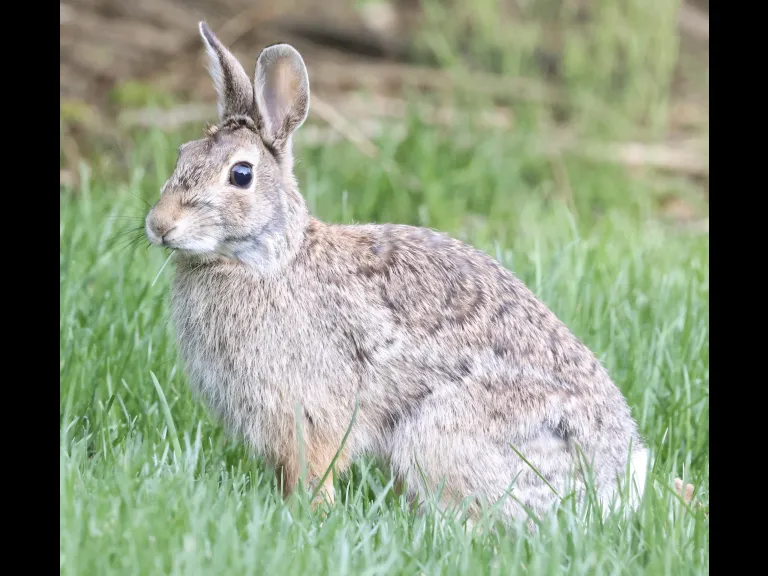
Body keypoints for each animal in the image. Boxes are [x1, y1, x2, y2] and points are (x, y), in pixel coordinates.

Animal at [144, 21, 650, 524]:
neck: (269, 261)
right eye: (182, 154)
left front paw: (311, 515)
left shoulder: (312, 412)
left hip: (441, 435)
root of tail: (615, 481)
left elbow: (315, 470)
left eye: (241, 174)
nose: (159, 225)